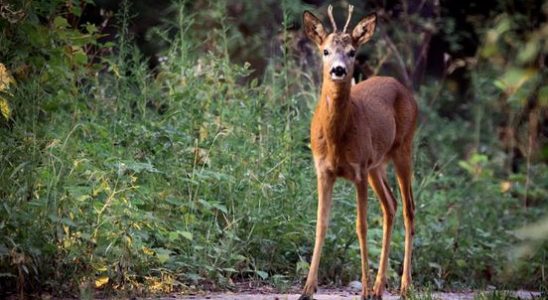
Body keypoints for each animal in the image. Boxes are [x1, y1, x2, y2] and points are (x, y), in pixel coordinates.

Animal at [298, 4, 418, 300]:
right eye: (325, 51)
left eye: (352, 51)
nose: (339, 70)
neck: (336, 140)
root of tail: (403, 88)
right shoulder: (323, 171)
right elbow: (321, 224)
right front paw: (307, 289)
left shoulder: (358, 170)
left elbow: (361, 227)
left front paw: (362, 289)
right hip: (377, 165)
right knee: (391, 205)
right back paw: (378, 287)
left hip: (403, 148)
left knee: (409, 208)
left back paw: (404, 285)